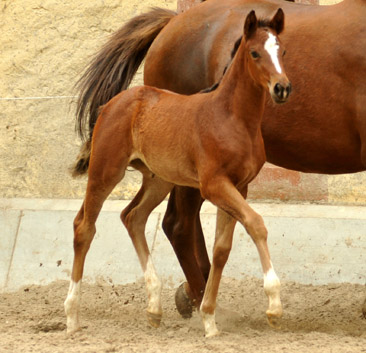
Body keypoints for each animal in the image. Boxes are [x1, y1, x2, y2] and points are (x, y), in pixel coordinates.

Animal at [64, 9, 290, 336]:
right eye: (255, 53)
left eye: (282, 51)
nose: (282, 88)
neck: (232, 118)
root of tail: (112, 103)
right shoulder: (214, 185)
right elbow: (256, 224)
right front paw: (273, 306)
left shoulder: (239, 186)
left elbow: (222, 248)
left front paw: (209, 319)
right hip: (105, 172)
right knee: (84, 226)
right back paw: (71, 316)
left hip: (159, 179)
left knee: (133, 217)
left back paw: (154, 307)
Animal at [76, 0, 366, 316]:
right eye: (254, 53)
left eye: (285, 52)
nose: (283, 88)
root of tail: (172, 21)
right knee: (176, 224)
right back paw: (199, 297)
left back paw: (196, 294)